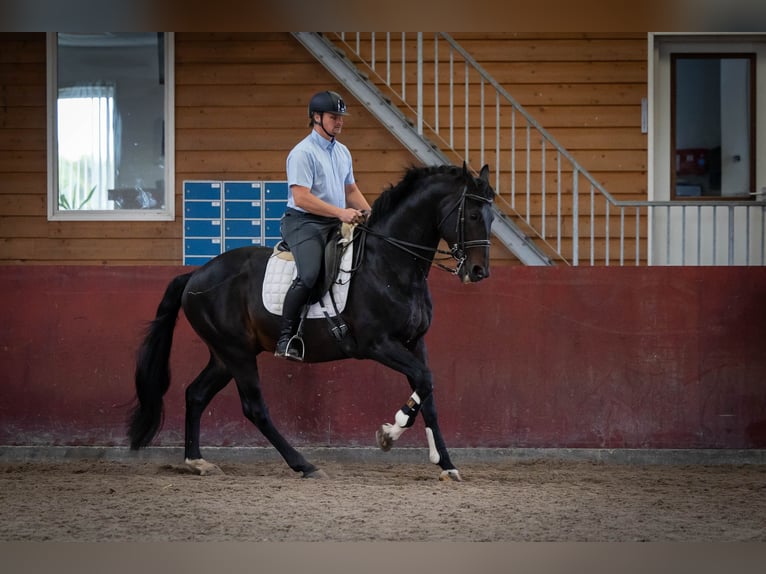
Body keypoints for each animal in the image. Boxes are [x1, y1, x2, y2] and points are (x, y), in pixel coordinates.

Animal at [126, 164, 498, 484]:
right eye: (473, 215)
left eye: (492, 217)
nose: (479, 272)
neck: (390, 264)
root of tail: (194, 275)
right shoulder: (378, 344)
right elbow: (424, 381)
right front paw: (389, 433)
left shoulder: (414, 342)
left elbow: (428, 391)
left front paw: (446, 464)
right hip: (236, 353)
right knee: (254, 408)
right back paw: (304, 465)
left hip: (224, 355)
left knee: (196, 394)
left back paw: (196, 461)